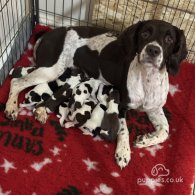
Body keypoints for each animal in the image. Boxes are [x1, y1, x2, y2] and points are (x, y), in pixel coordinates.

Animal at [4, 20, 187, 169]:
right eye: (145, 34)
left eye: (169, 39)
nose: (153, 50)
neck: (148, 78)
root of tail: (47, 34)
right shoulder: (121, 106)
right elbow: (124, 130)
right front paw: (123, 152)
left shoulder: (155, 108)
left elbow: (165, 131)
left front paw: (145, 140)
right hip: (50, 70)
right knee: (16, 82)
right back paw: (11, 107)